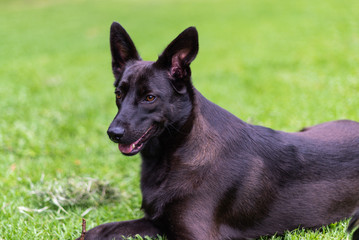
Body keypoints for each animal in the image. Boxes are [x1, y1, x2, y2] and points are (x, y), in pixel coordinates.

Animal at [80, 22, 359, 238]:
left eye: (150, 97)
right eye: (119, 94)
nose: (113, 133)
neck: (176, 152)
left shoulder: (194, 233)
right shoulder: (156, 222)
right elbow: (97, 230)